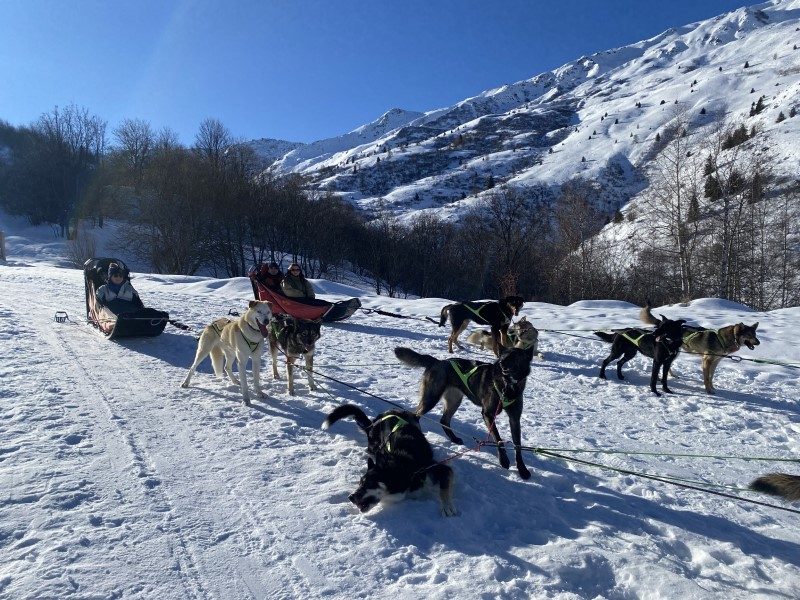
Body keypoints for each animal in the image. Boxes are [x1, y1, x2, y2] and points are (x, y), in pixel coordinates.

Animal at [320, 404, 456, 516]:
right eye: (359, 483)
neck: (407, 470)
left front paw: (447, 507)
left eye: (368, 483)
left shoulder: (441, 469)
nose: (350, 497)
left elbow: (443, 489)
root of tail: (375, 422)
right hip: (375, 446)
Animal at [396, 344, 536, 480]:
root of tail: (438, 362)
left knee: (444, 420)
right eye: (502, 355)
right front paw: (504, 460)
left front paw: (522, 469)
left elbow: (518, 446)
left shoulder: (514, 419)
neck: (507, 385)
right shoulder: (488, 414)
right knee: (414, 415)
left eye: (514, 355)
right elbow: (498, 438)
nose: (501, 362)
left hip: (454, 401)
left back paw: (453, 438)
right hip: (431, 398)